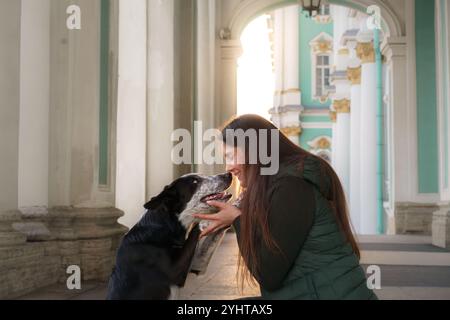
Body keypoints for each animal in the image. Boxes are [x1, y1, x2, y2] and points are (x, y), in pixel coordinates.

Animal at [105, 172, 232, 300]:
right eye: (195, 181)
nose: (228, 174)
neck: (164, 226)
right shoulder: (175, 271)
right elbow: (196, 228)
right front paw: (207, 221)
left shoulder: (197, 265)